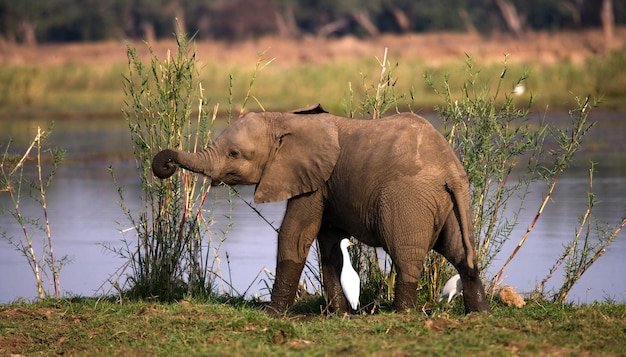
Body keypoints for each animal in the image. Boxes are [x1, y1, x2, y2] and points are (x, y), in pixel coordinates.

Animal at [154, 104, 490, 312]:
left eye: (235, 153)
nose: (165, 166)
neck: (285, 119)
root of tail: (451, 167)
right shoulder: (326, 185)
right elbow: (328, 245)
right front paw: (337, 314)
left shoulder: (313, 181)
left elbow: (295, 235)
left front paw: (272, 313)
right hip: (448, 204)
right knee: (461, 252)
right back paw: (479, 313)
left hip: (408, 198)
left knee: (405, 253)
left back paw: (402, 313)